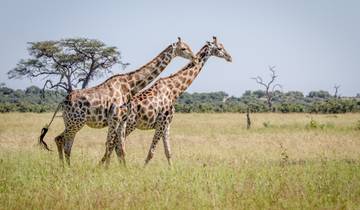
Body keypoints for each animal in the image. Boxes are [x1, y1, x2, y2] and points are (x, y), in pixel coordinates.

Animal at [38, 37, 197, 166]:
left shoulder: (122, 120)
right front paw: (106, 169)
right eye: (183, 48)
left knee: (64, 143)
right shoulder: (114, 118)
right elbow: (109, 144)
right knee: (62, 141)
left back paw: (66, 167)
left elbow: (121, 148)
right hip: (75, 123)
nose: (194, 58)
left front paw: (123, 170)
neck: (129, 86)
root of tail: (62, 102)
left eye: (189, 46)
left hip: (72, 123)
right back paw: (66, 168)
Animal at [104, 37, 232, 167]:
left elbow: (168, 152)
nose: (230, 57)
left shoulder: (167, 124)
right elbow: (151, 152)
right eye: (219, 48)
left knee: (114, 145)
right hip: (129, 124)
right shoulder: (161, 122)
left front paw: (172, 169)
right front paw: (143, 169)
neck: (174, 91)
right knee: (115, 145)